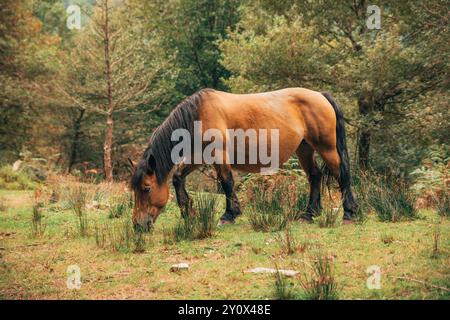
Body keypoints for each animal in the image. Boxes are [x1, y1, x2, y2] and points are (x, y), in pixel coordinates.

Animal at [130, 87, 358, 231]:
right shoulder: (198, 156)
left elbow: (227, 183)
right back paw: (309, 214)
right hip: (304, 149)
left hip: (327, 148)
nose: (138, 225)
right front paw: (188, 213)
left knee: (341, 174)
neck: (198, 114)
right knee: (315, 176)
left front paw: (229, 215)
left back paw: (349, 214)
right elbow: (178, 177)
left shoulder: (218, 154)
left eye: (146, 188)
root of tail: (321, 95)